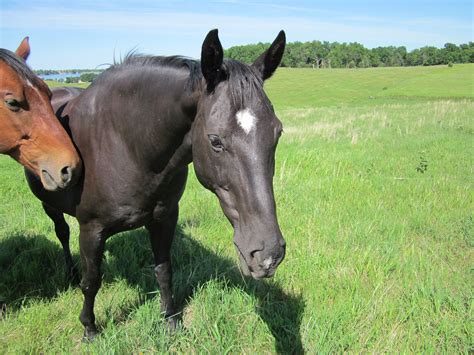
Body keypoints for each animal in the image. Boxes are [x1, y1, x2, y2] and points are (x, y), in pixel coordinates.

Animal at [27, 29, 286, 340]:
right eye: (215, 141)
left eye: (277, 132)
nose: (268, 255)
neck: (127, 145)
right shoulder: (91, 230)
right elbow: (92, 281)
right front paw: (89, 328)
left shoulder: (164, 218)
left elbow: (164, 270)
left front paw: (170, 320)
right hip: (49, 203)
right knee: (62, 233)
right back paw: (70, 273)